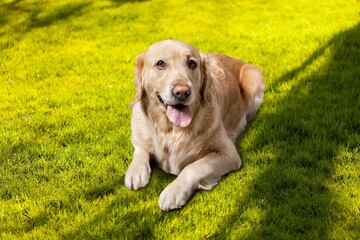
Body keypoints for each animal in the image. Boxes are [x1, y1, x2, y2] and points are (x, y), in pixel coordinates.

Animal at [124, 40, 264, 211]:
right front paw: (135, 171)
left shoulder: (228, 153)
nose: (182, 92)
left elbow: (192, 167)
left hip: (253, 79)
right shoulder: (140, 133)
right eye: (160, 63)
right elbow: (140, 150)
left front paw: (174, 191)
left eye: (191, 63)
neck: (171, 130)